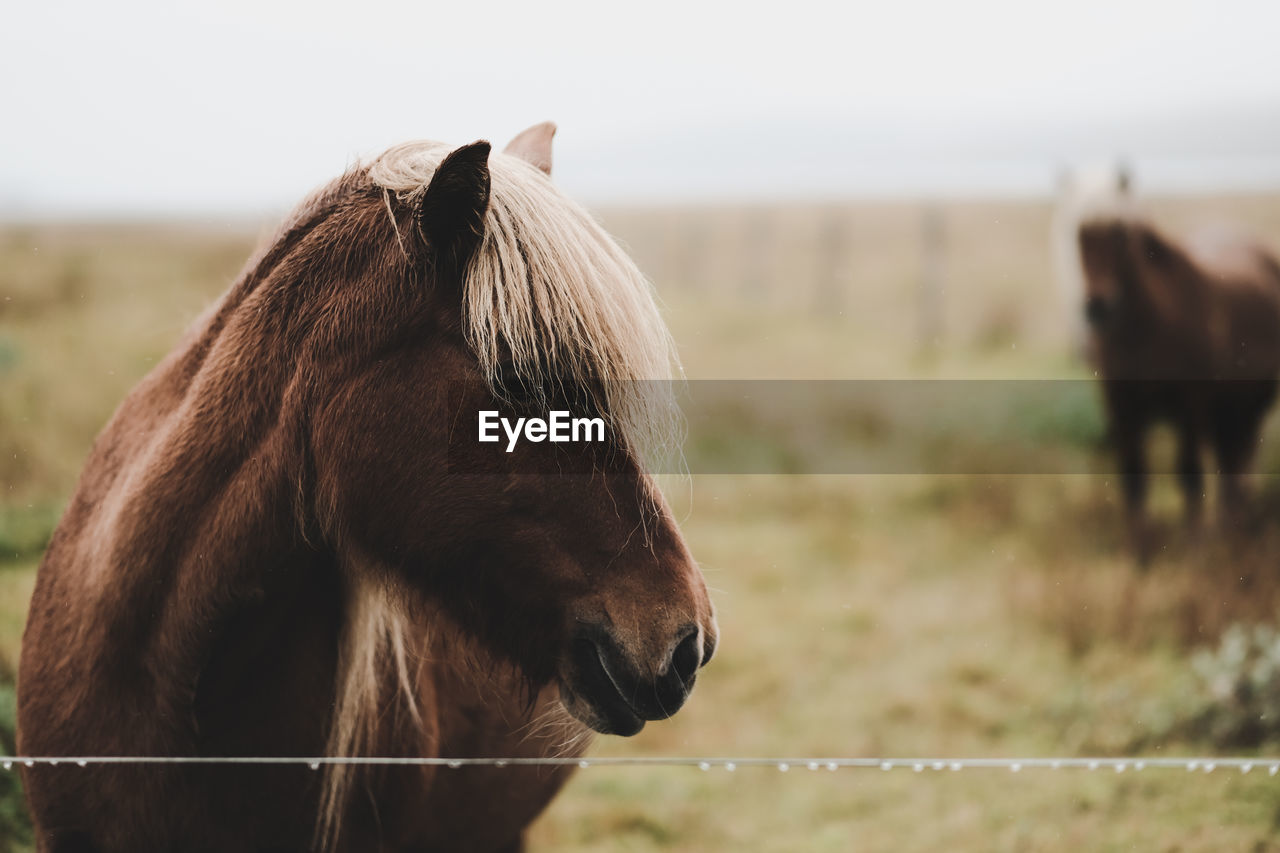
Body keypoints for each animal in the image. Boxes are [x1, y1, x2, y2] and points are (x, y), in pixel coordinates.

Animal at [1075, 216, 1280, 555]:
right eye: (1079, 244)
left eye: (1121, 240)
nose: (1097, 305)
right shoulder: (1123, 411)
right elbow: (1134, 476)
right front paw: (1140, 553)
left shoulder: (1190, 408)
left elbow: (1189, 472)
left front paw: (1194, 546)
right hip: (1225, 414)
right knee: (1228, 464)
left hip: (1246, 409)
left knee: (1238, 466)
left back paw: (1234, 531)